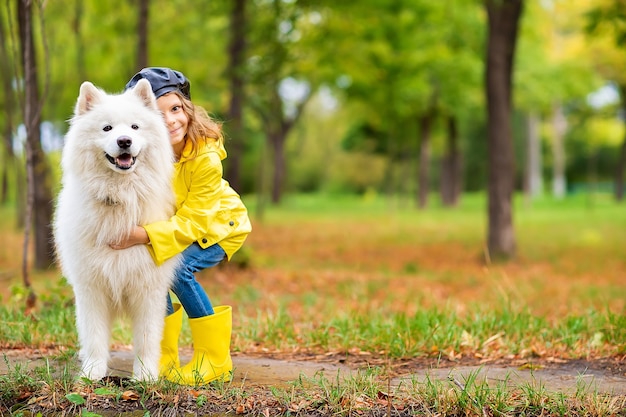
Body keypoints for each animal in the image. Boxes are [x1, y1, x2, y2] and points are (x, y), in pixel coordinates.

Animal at [53, 78, 178, 380]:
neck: (120, 197)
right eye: (107, 128)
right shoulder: (91, 287)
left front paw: (145, 376)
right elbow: (95, 336)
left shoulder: (148, 288)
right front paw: (92, 373)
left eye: (134, 127)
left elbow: (146, 338)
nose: (124, 141)